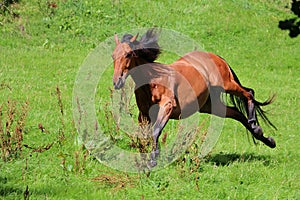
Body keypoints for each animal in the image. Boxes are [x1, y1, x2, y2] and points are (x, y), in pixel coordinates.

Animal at [112, 27, 276, 166]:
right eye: (113, 56)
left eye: (128, 54)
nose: (117, 82)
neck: (153, 80)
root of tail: (215, 56)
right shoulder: (144, 114)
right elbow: (144, 135)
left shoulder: (167, 106)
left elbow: (155, 131)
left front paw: (153, 160)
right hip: (210, 105)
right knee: (237, 113)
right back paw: (266, 138)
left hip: (227, 84)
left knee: (249, 93)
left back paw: (255, 124)